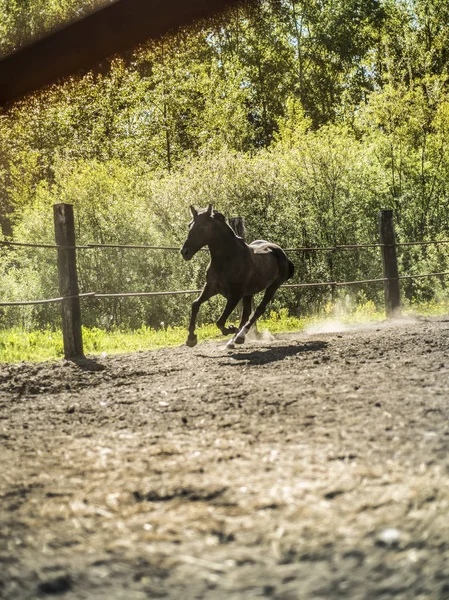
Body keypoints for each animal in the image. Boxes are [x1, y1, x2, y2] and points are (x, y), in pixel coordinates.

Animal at [179, 204, 294, 350]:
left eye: (201, 226)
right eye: (189, 225)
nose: (184, 252)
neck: (228, 259)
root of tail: (281, 252)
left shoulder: (235, 295)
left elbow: (220, 322)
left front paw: (230, 328)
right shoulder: (211, 288)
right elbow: (195, 305)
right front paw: (191, 338)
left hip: (273, 287)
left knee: (258, 310)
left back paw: (239, 335)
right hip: (249, 293)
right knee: (246, 314)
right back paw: (233, 340)